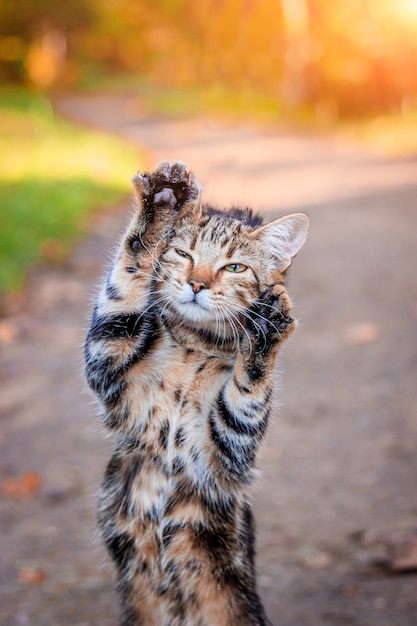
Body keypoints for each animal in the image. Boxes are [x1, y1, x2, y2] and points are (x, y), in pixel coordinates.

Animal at [83, 162, 308, 624]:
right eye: (183, 254)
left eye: (235, 268)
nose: (197, 284)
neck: (195, 347)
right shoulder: (107, 361)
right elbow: (125, 281)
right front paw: (162, 200)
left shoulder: (229, 447)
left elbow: (247, 393)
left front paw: (266, 329)